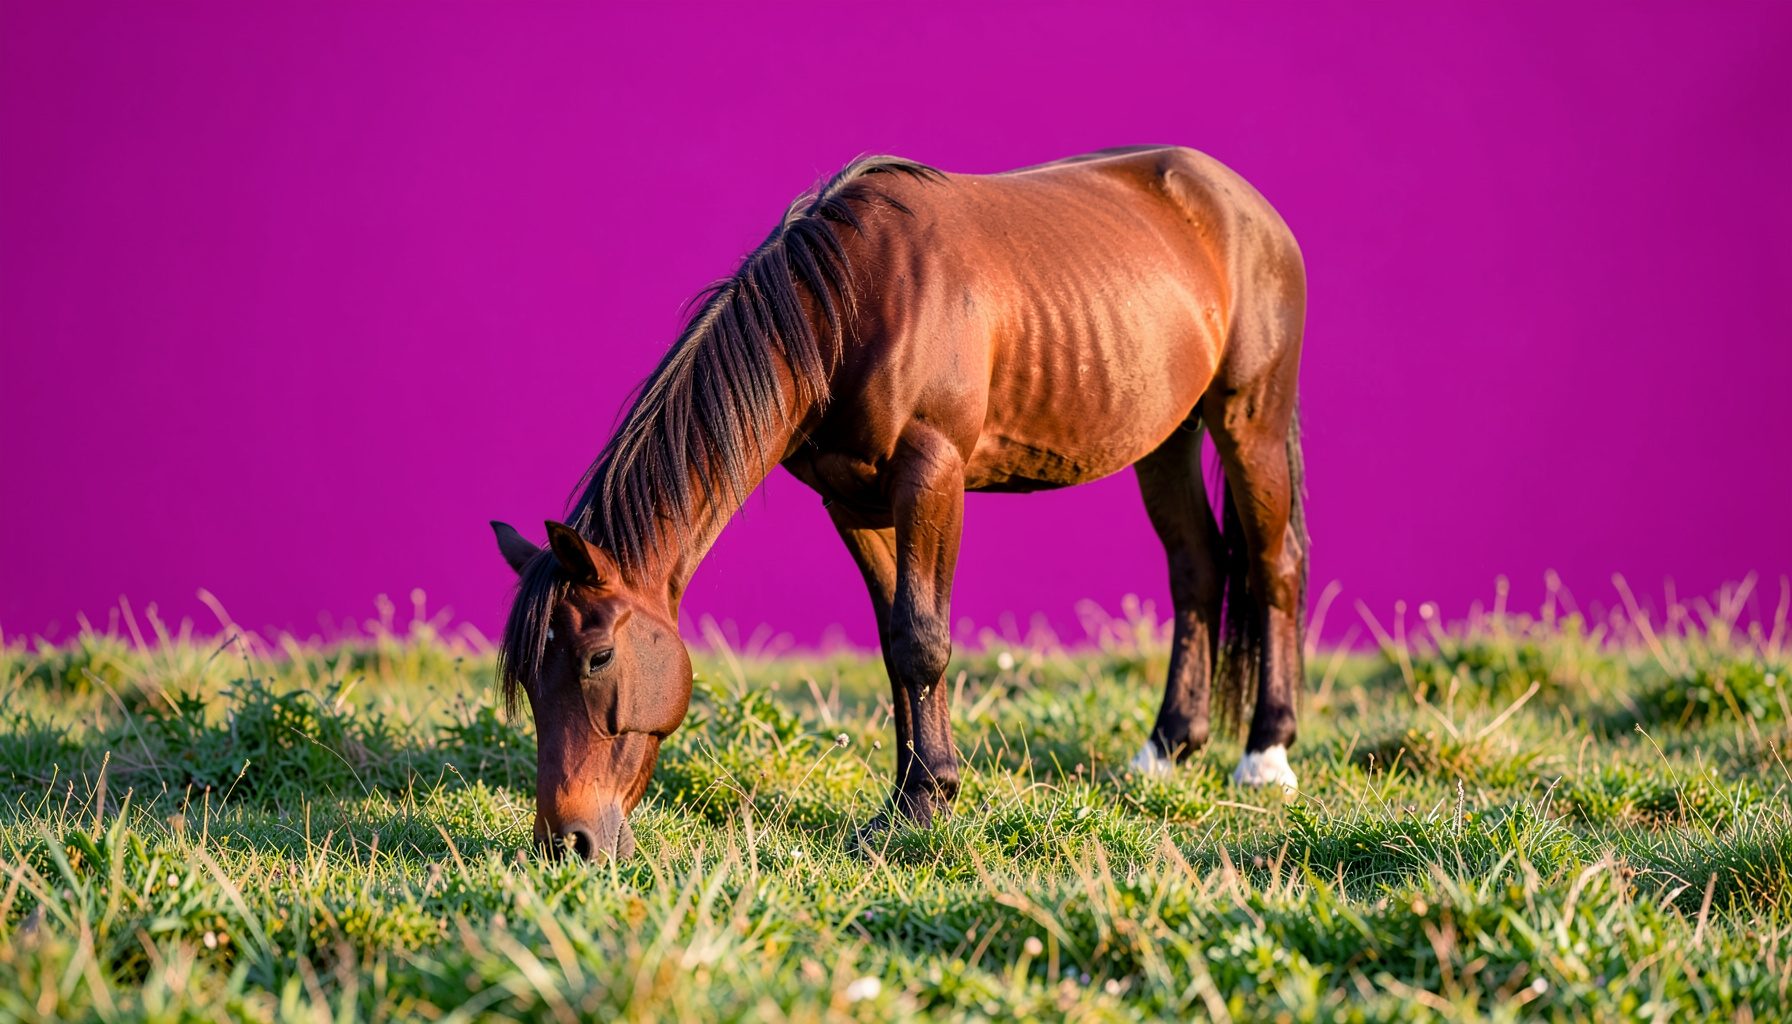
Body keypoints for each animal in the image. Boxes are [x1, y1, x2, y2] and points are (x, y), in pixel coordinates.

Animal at [490, 146, 1308, 860]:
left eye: (598, 658)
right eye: (529, 677)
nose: (567, 843)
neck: (847, 310)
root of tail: (1242, 202)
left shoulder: (932, 473)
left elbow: (923, 637)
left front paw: (922, 802)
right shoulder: (850, 501)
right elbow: (892, 644)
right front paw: (917, 790)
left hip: (1250, 418)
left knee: (1276, 567)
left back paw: (1266, 754)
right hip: (1168, 437)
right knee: (1198, 565)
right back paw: (1167, 748)